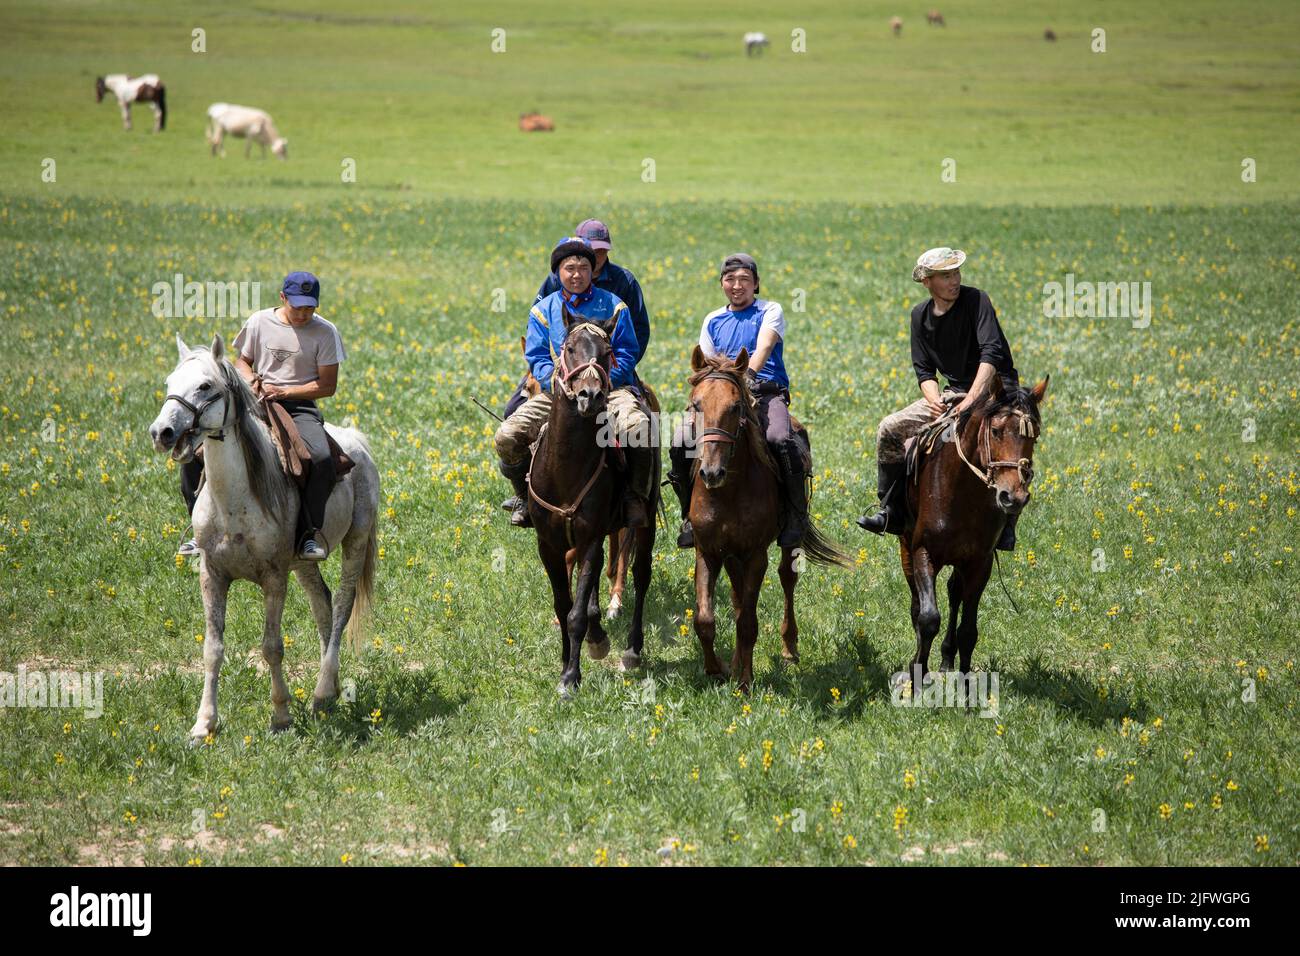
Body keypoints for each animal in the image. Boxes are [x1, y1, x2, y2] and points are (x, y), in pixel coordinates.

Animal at [150, 332, 379, 738]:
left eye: (205, 386)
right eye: (169, 383)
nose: (162, 432)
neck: (235, 502)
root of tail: (356, 442)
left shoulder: (274, 577)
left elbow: (272, 646)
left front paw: (281, 717)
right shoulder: (212, 574)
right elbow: (213, 648)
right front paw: (203, 724)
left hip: (356, 542)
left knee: (340, 607)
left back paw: (322, 692)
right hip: (303, 562)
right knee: (322, 601)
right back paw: (330, 691)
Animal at [525, 314, 655, 697]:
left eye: (607, 351)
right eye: (569, 348)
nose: (591, 395)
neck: (565, 468)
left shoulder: (591, 538)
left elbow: (577, 613)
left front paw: (571, 676)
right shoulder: (549, 545)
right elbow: (564, 604)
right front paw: (567, 660)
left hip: (646, 521)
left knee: (641, 575)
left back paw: (632, 650)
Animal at [681, 348, 852, 691]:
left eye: (735, 407)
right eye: (696, 404)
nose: (711, 473)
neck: (729, 491)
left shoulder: (756, 554)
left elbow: (748, 621)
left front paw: (745, 682)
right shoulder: (707, 552)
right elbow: (705, 619)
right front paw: (718, 669)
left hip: (785, 543)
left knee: (787, 578)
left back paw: (788, 648)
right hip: (731, 555)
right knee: (736, 597)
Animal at [899, 371, 1050, 686]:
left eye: (1034, 436)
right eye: (996, 431)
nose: (1014, 497)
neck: (961, 493)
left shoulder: (980, 562)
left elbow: (969, 630)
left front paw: (967, 685)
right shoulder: (922, 551)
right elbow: (928, 617)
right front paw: (917, 673)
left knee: (954, 593)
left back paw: (947, 658)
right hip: (906, 545)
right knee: (917, 601)